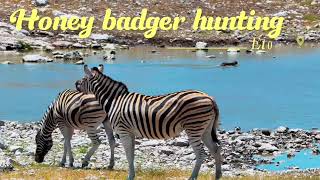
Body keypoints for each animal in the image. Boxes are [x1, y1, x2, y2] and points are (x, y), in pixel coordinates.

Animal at [75, 64, 221, 180]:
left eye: (83, 79)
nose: (75, 84)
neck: (114, 101)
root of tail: (209, 97)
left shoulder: (123, 131)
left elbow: (128, 155)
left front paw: (130, 176)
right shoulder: (130, 132)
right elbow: (132, 155)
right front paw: (132, 175)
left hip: (194, 127)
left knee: (201, 154)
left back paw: (193, 177)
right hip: (205, 129)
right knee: (215, 148)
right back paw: (217, 176)